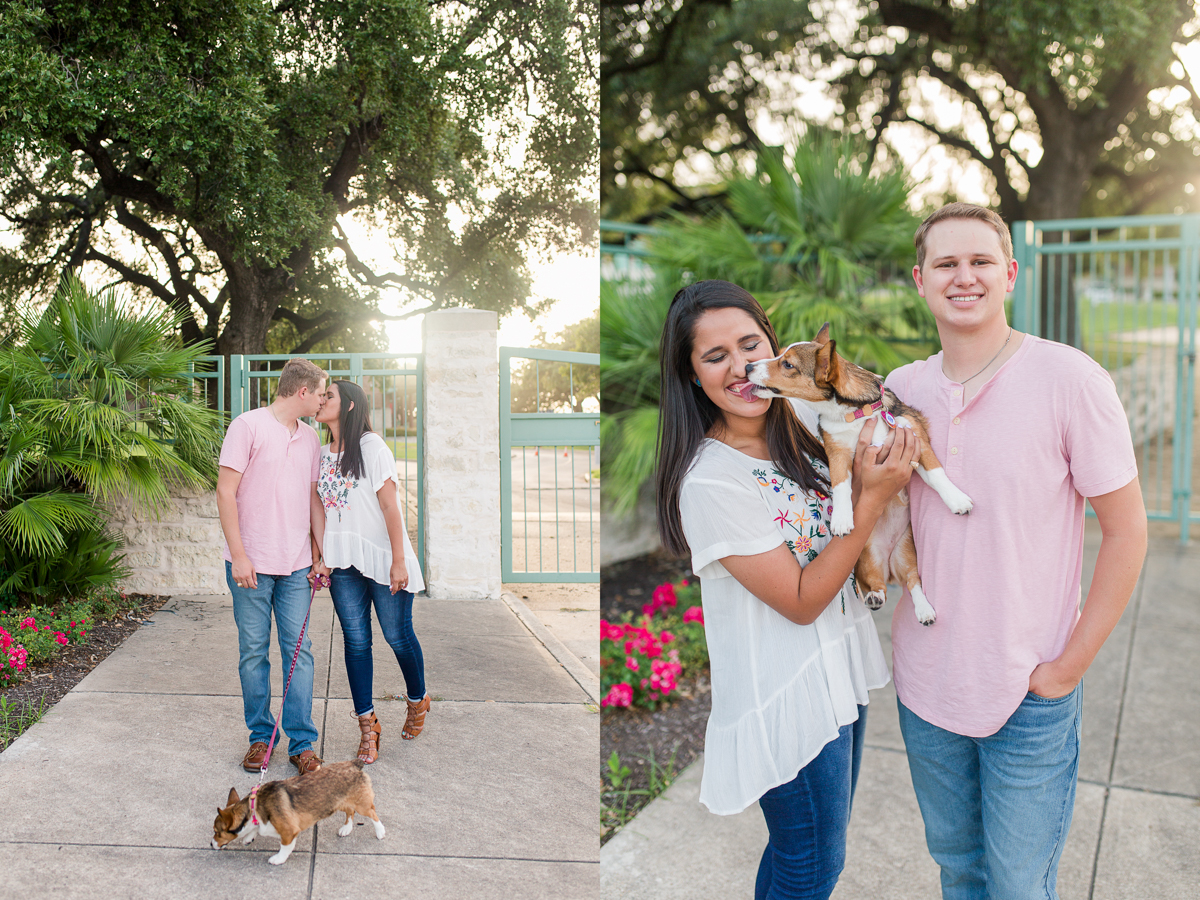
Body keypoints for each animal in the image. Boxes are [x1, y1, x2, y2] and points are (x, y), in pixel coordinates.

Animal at [211, 763, 384, 868]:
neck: (254, 808)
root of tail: (354, 764)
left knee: (373, 813)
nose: (211, 845)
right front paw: (249, 837)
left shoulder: (288, 832)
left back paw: (380, 832)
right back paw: (346, 829)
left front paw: (278, 859)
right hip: (340, 803)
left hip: (362, 805)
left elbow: (284, 847)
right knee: (350, 812)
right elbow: (254, 830)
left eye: (217, 832)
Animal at [739, 324, 974, 628]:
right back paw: (875, 597)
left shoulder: (915, 437)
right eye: (778, 355)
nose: (747, 366)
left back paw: (923, 610)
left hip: (906, 553)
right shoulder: (837, 453)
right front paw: (842, 519)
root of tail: (889, 567)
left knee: (912, 580)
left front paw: (957, 500)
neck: (853, 413)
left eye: (787, 364)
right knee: (877, 584)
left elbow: (936, 473)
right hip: (868, 556)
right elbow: (841, 486)